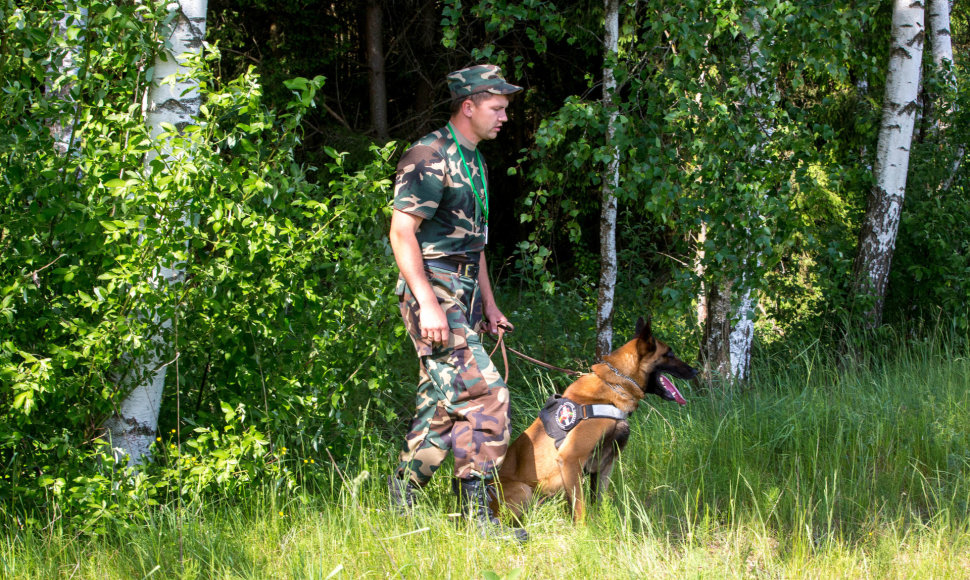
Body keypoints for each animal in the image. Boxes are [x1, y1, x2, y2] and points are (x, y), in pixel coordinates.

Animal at [492, 320, 696, 524]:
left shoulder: (605, 464)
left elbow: (599, 501)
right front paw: (586, 530)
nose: (695, 370)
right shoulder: (570, 459)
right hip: (523, 490)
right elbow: (581, 509)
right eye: (670, 354)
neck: (613, 386)